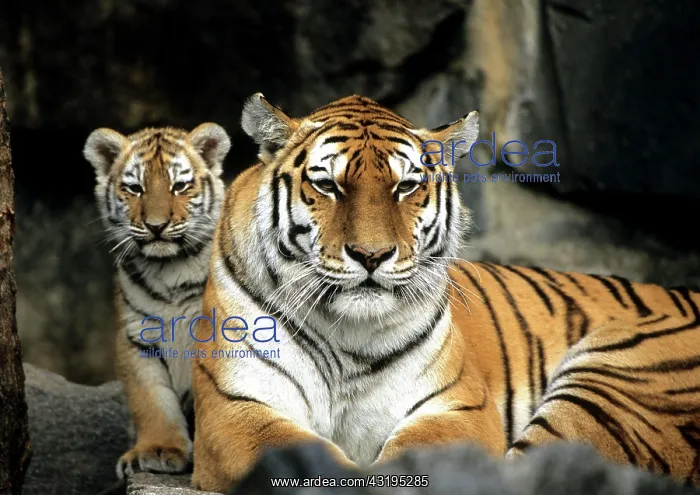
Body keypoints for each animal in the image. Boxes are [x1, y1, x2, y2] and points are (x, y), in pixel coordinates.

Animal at [83, 123, 231, 479]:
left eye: (180, 186)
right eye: (135, 188)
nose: (156, 225)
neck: (170, 271)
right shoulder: (137, 338)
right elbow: (151, 401)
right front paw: (158, 451)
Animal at [190, 93, 700, 493]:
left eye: (406, 186)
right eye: (327, 185)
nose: (372, 255)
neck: (347, 330)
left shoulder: (457, 406)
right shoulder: (236, 408)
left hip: (615, 375)